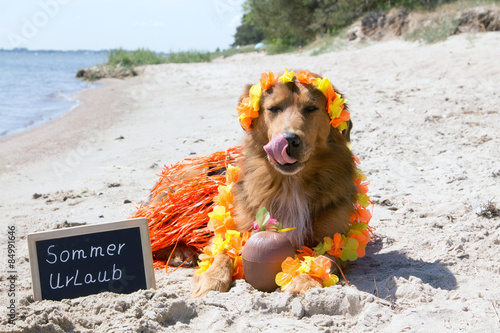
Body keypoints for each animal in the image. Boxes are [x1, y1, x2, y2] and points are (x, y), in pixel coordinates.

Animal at [190, 71, 356, 296]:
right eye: (274, 108)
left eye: (311, 108)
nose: (289, 140)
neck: (290, 183)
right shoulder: (236, 229)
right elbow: (223, 252)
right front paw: (211, 279)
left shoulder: (335, 238)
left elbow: (323, 260)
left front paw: (304, 282)